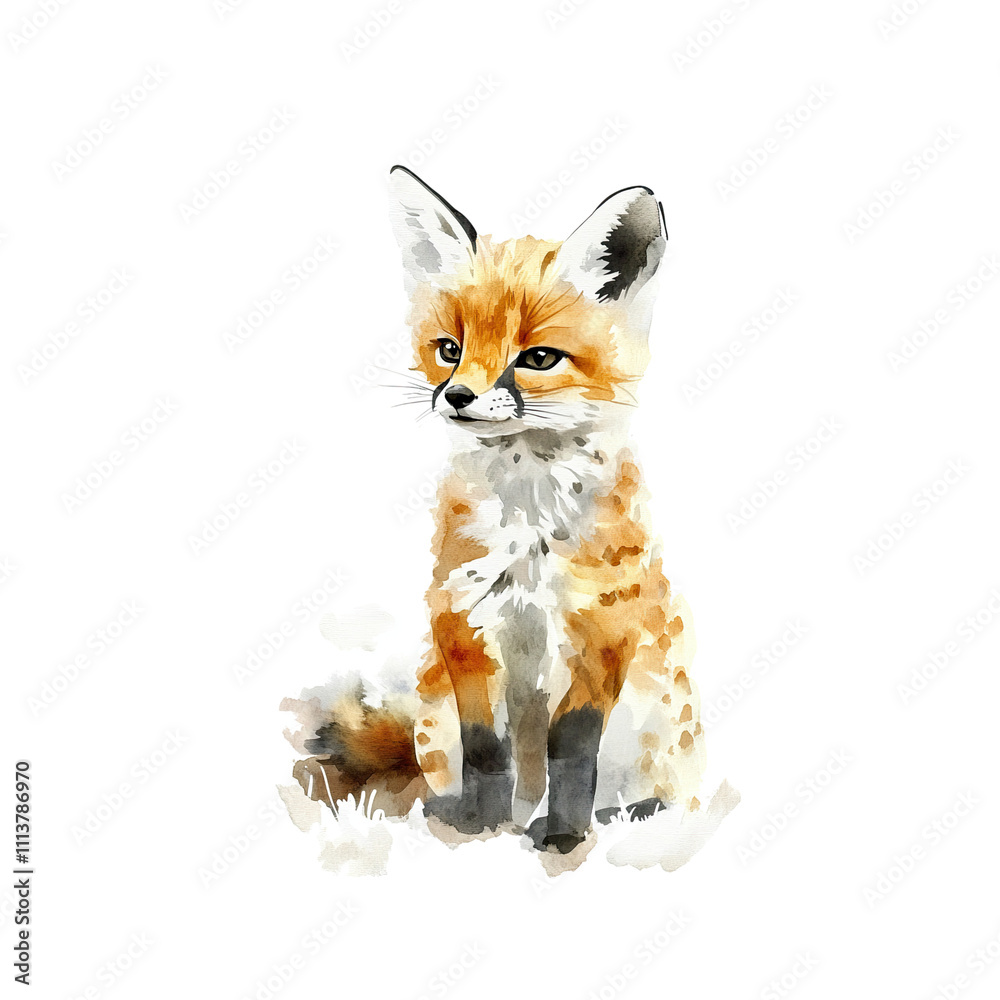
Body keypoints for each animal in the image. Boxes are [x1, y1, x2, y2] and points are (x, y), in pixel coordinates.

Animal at [288, 166, 707, 855]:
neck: (529, 528)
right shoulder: (462, 617)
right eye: (449, 348)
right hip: (434, 717)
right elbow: (486, 748)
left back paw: (617, 816)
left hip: (657, 727)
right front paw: (479, 826)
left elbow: (573, 749)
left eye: (537, 358)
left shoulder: (601, 630)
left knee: (659, 793)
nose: (456, 396)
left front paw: (563, 835)